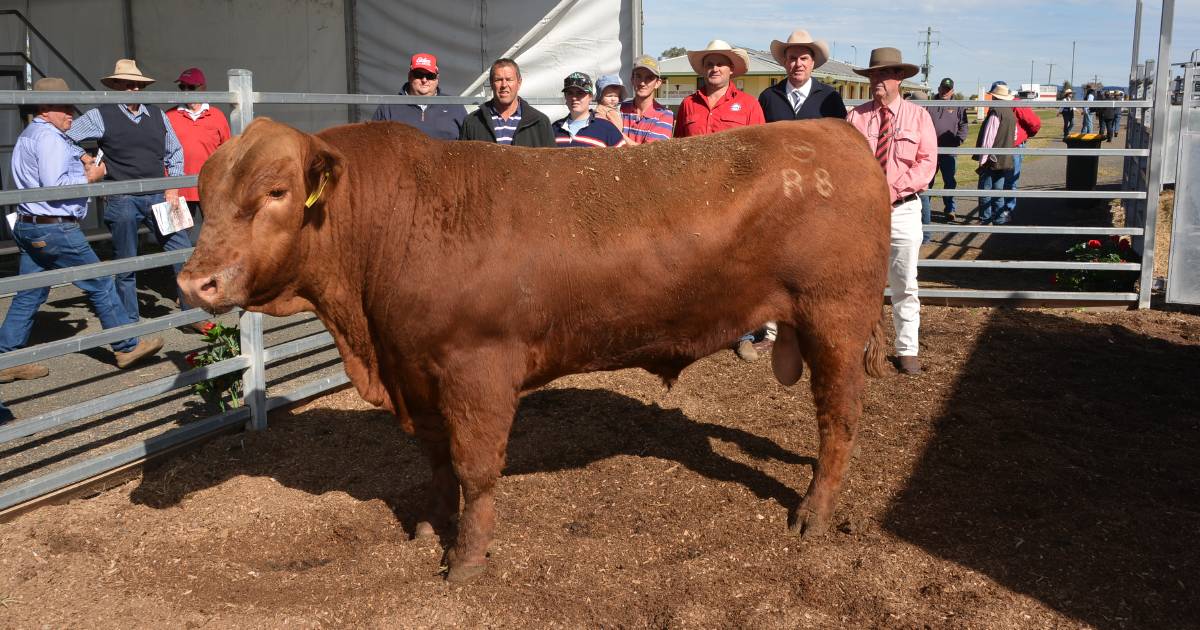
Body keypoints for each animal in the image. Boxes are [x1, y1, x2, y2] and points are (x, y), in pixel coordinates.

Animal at [177, 116, 892, 580]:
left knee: (839, 418)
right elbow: (436, 462)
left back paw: (813, 514)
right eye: (205, 194)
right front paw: (430, 523)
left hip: (835, 316)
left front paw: (466, 560)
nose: (194, 281)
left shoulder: (476, 369)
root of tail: (836, 130)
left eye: (276, 191)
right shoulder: (417, 373)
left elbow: (475, 468)